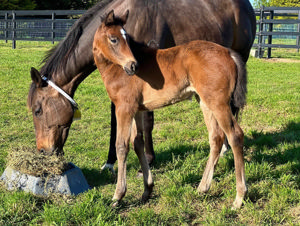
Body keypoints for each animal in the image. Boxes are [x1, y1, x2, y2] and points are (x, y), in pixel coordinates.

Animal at [92, 10, 247, 208]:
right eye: (113, 39)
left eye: (125, 37)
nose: (133, 65)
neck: (117, 69)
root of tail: (228, 52)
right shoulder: (137, 110)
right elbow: (138, 143)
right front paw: (147, 190)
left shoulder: (124, 109)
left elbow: (121, 146)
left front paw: (118, 196)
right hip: (205, 102)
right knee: (216, 137)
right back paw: (202, 188)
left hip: (219, 103)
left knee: (235, 135)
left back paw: (239, 197)